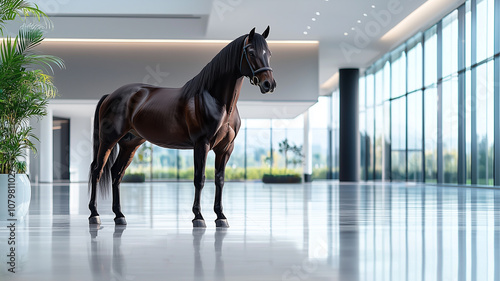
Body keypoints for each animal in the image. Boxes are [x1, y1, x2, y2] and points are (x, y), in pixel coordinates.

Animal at [88, 26, 276, 228]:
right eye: (251, 52)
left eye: (269, 53)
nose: (269, 84)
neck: (217, 101)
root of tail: (110, 95)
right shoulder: (202, 144)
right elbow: (199, 179)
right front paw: (198, 217)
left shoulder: (225, 148)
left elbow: (220, 180)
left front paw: (221, 216)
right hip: (108, 140)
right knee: (97, 170)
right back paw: (94, 214)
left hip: (130, 144)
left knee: (116, 173)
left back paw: (119, 215)